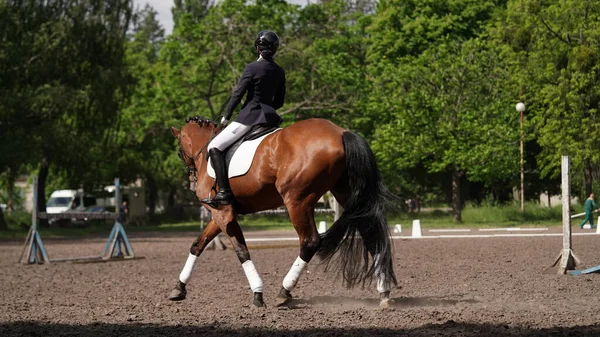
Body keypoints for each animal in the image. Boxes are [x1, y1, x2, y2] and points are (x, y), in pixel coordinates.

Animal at [168, 117, 398, 308]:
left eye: (179, 152)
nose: (191, 182)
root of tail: (341, 132)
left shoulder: (224, 212)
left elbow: (241, 250)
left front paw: (258, 293)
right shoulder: (220, 214)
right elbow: (198, 244)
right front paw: (178, 288)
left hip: (297, 201)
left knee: (310, 242)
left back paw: (284, 292)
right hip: (345, 193)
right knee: (370, 236)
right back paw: (384, 293)